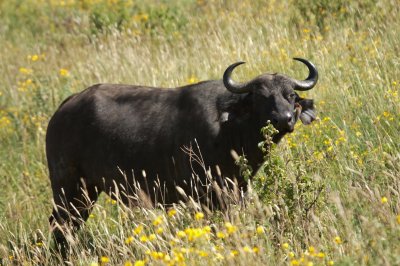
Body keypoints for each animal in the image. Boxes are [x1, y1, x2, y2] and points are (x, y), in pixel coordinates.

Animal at [45, 57, 318, 244]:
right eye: (261, 97)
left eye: (290, 95)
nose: (285, 119)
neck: (228, 128)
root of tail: (64, 109)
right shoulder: (204, 196)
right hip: (67, 187)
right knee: (60, 225)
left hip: (86, 191)